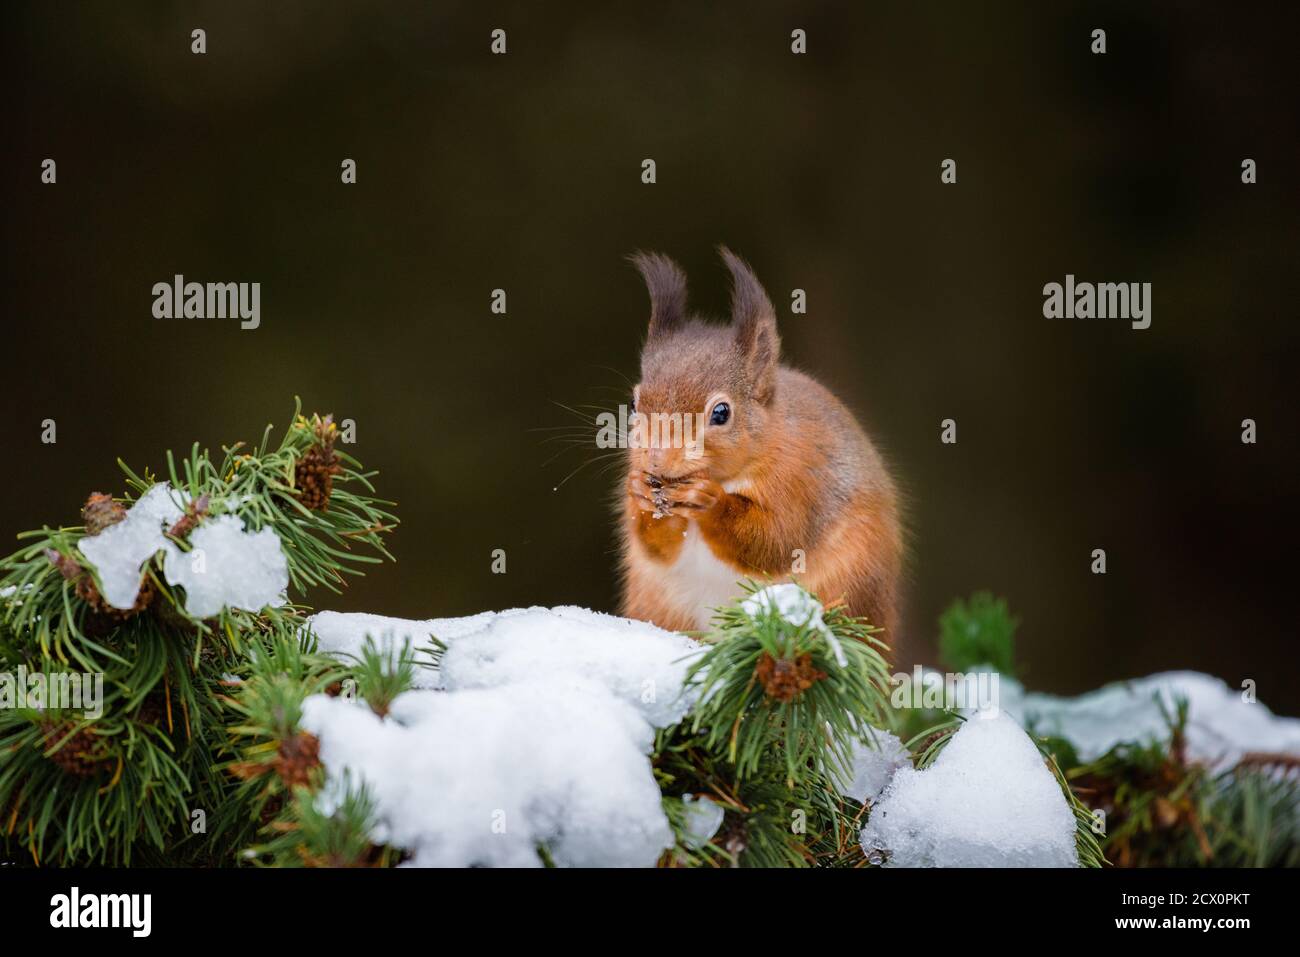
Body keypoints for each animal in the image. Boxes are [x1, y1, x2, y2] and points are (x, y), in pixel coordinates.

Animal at [618, 250, 904, 647]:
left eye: (721, 413)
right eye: (633, 403)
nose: (657, 460)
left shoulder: (801, 481)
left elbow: (774, 540)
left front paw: (710, 501)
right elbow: (657, 547)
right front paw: (640, 493)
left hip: (849, 585)